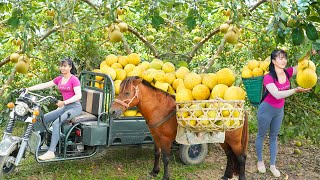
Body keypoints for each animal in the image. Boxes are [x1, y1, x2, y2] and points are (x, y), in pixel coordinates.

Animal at [111, 76, 249, 180]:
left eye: (127, 93)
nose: (112, 111)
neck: (160, 109)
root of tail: (240, 107)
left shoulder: (166, 139)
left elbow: (166, 158)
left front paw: (165, 177)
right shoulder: (156, 137)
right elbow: (156, 154)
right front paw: (154, 171)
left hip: (234, 140)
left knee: (241, 157)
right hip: (224, 140)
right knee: (230, 155)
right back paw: (226, 176)